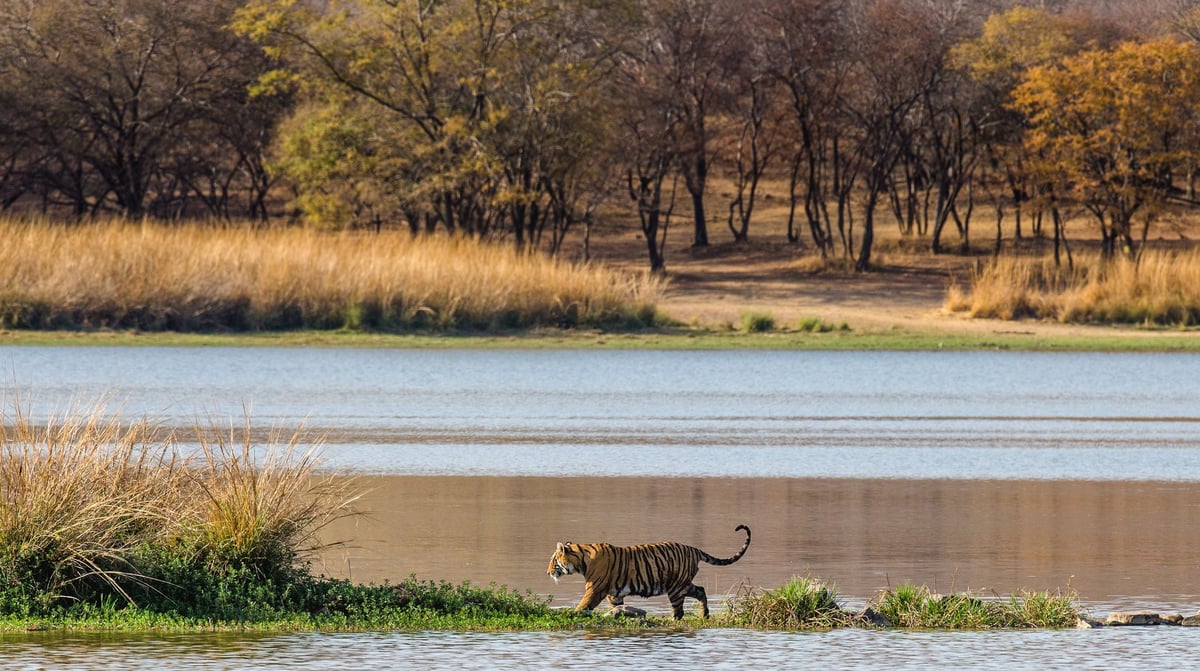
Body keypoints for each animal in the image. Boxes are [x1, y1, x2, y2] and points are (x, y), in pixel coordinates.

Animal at [547, 525, 748, 619]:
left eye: (553, 561)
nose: (548, 573)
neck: (581, 559)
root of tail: (694, 549)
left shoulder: (595, 590)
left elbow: (583, 606)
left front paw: (571, 614)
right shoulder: (614, 593)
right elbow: (617, 606)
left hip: (676, 588)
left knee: (679, 611)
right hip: (683, 584)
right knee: (701, 591)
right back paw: (704, 615)